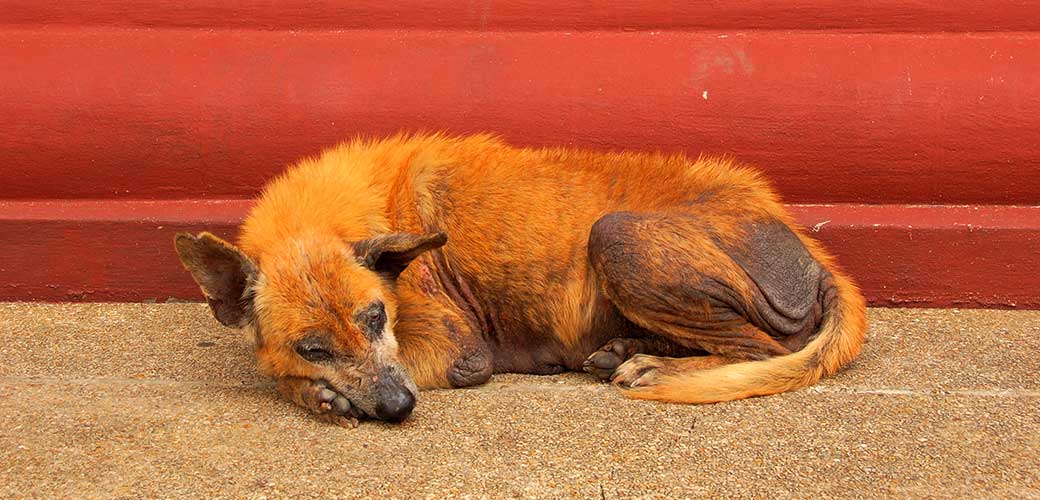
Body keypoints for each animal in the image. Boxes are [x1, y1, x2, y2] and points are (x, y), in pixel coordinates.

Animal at [174, 133, 865, 424]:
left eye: (377, 317)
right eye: (313, 346)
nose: (399, 408)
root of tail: (809, 248)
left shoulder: (456, 350)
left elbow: (277, 380)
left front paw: (313, 394)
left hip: (616, 235)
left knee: (761, 350)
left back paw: (652, 366)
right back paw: (625, 350)